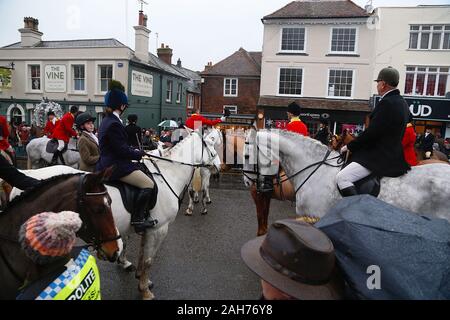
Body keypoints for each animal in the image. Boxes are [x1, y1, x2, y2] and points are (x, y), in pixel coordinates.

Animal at [13, 130, 217, 300]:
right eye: (213, 151)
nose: (218, 166)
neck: (167, 176)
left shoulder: (148, 228)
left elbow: (142, 254)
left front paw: (140, 277)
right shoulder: (159, 229)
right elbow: (149, 260)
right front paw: (145, 290)